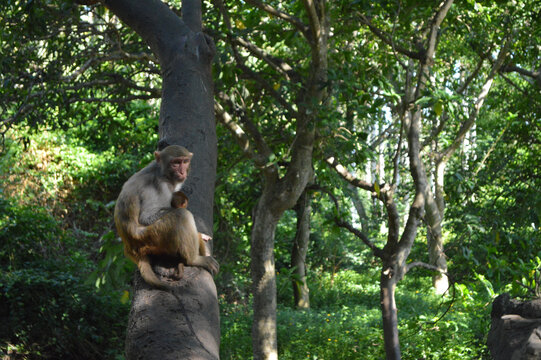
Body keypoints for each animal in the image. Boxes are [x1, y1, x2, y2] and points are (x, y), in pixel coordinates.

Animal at [115, 145, 218, 288]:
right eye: (176, 163)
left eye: (185, 162)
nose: (182, 172)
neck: (162, 172)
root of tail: (131, 249)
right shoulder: (160, 186)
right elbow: (146, 217)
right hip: (153, 238)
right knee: (182, 216)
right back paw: (193, 259)